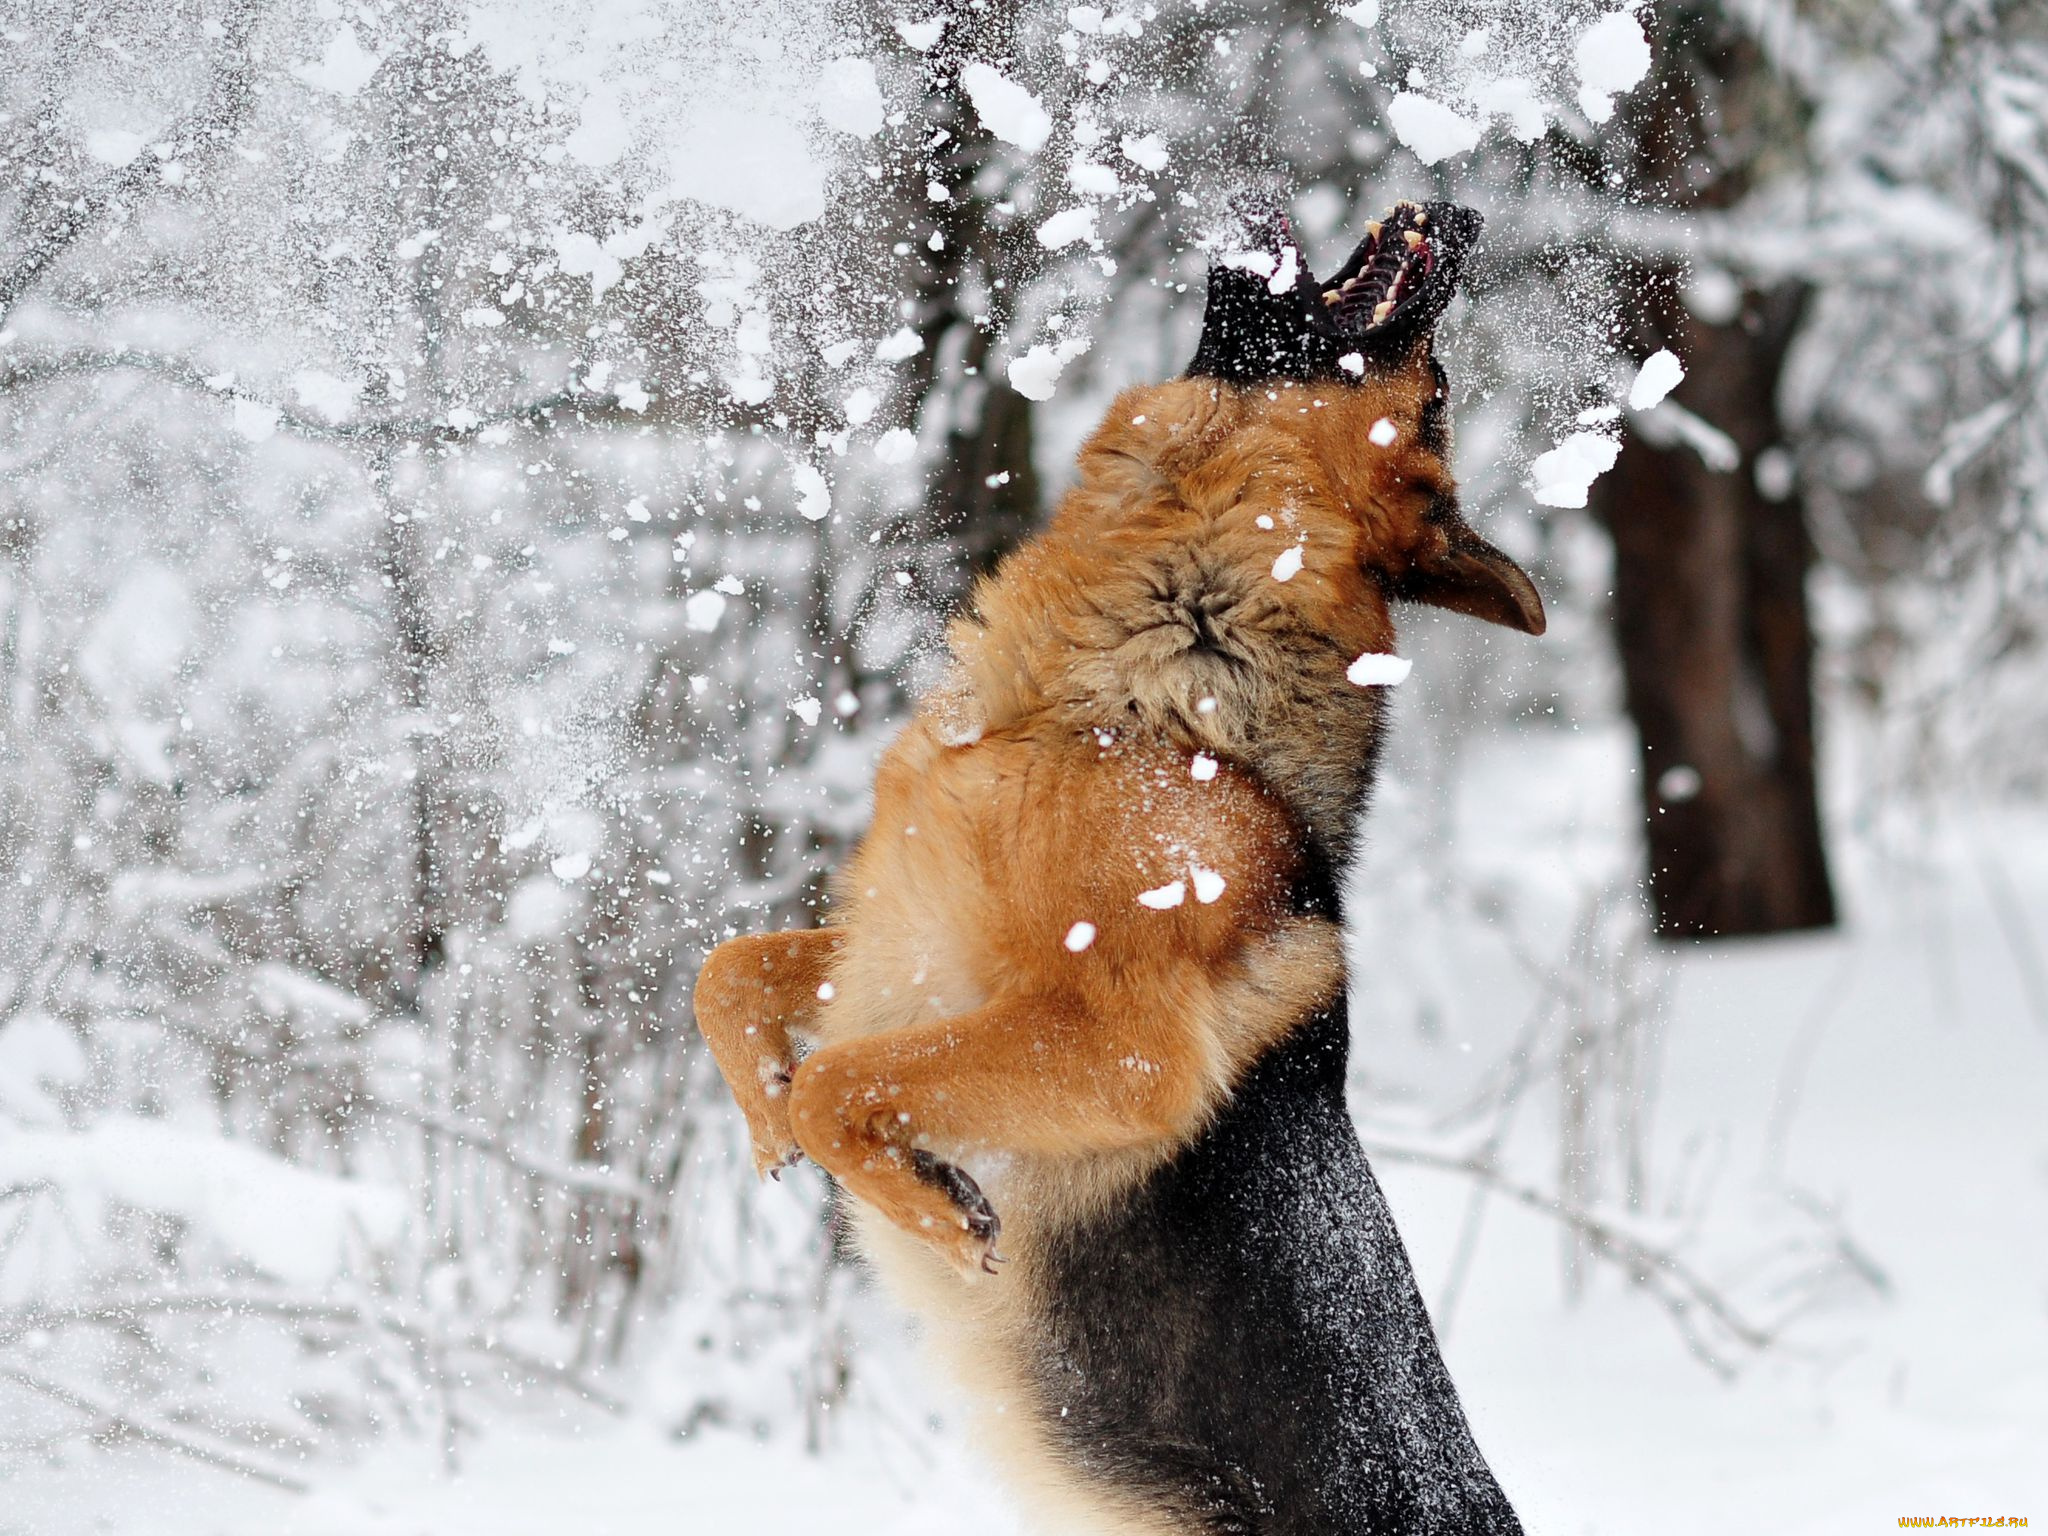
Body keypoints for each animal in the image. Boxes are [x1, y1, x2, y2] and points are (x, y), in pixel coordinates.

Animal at [696, 204, 1540, 1536]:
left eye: (1439, 388)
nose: (1458, 215)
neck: (1140, 693)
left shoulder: (1116, 1047)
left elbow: (839, 1082)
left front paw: (926, 1204)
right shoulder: (898, 943)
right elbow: (731, 975)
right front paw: (764, 1114)